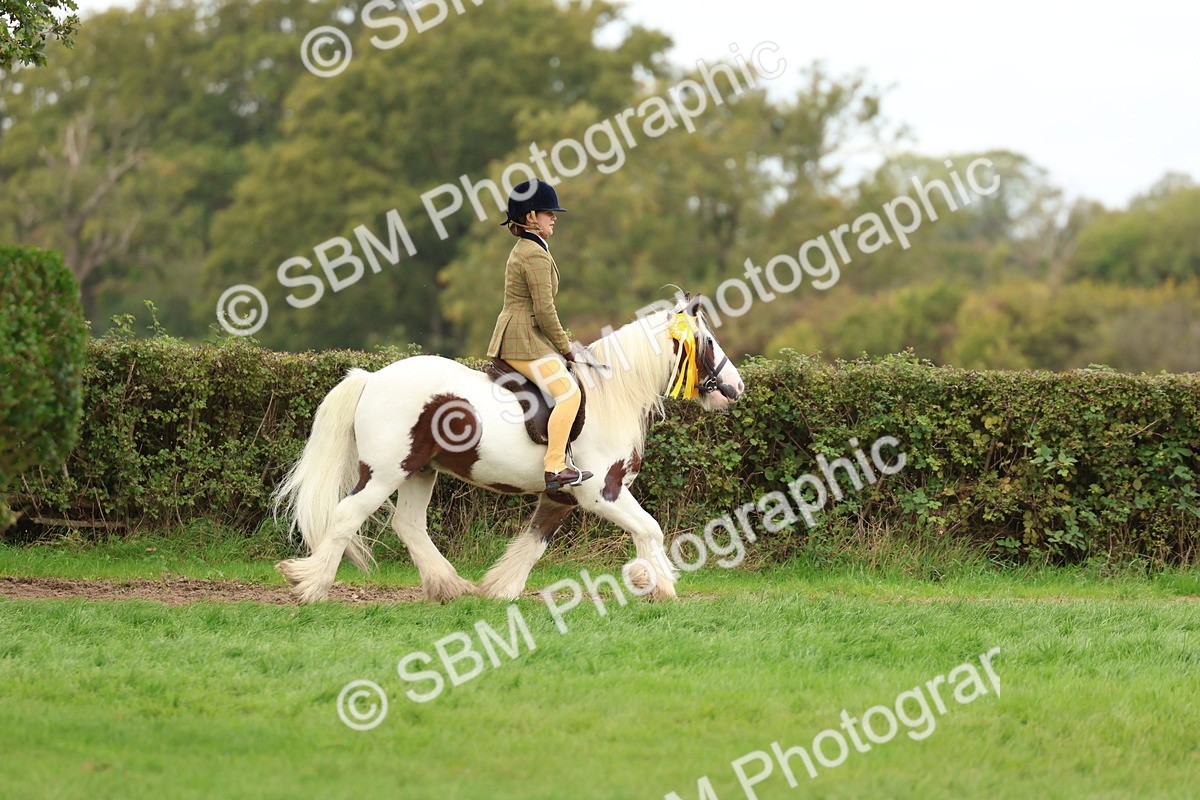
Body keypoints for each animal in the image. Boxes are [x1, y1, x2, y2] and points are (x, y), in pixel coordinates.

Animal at [273, 294, 745, 603]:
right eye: (708, 341)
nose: (736, 388)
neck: (612, 396)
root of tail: (371, 378)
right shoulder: (603, 493)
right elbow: (649, 529)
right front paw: (659, 584)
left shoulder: (561, 497)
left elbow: (534, 543)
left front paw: (500, 589)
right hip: (386, 471)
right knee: (346, 517)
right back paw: (311, 586)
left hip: (421, 471)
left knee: (409, 525)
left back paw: (451, 587)